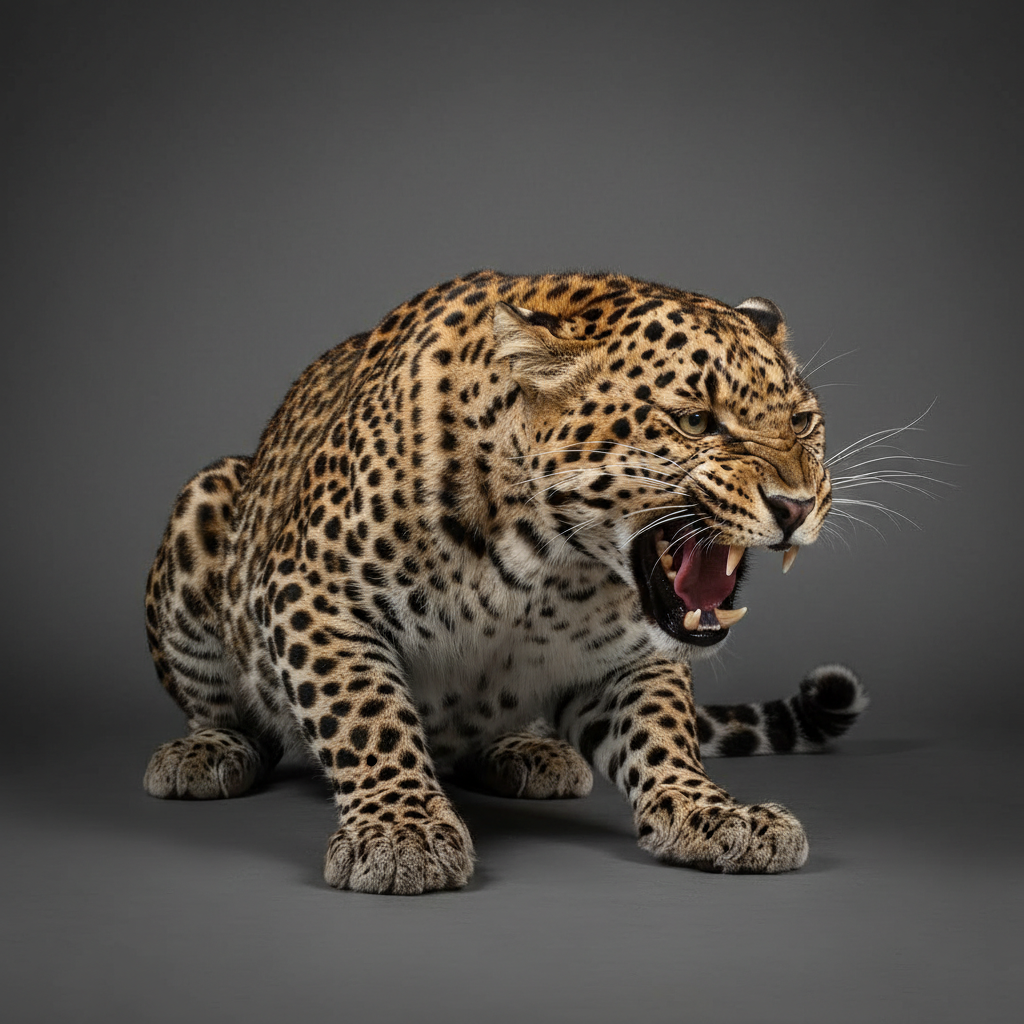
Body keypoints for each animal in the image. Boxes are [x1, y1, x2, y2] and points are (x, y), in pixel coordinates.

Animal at [143, 270, 869, 895]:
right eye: (694, 421)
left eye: (802, 422)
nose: (797, 505)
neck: (549, 565)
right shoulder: (315, 593)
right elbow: (365, 712)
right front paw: (401, 832)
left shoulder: (634, 651)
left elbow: (662, 730)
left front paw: (713, 813)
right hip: (207, 499)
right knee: (233, 714)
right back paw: (208, 750)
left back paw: (527, 749)